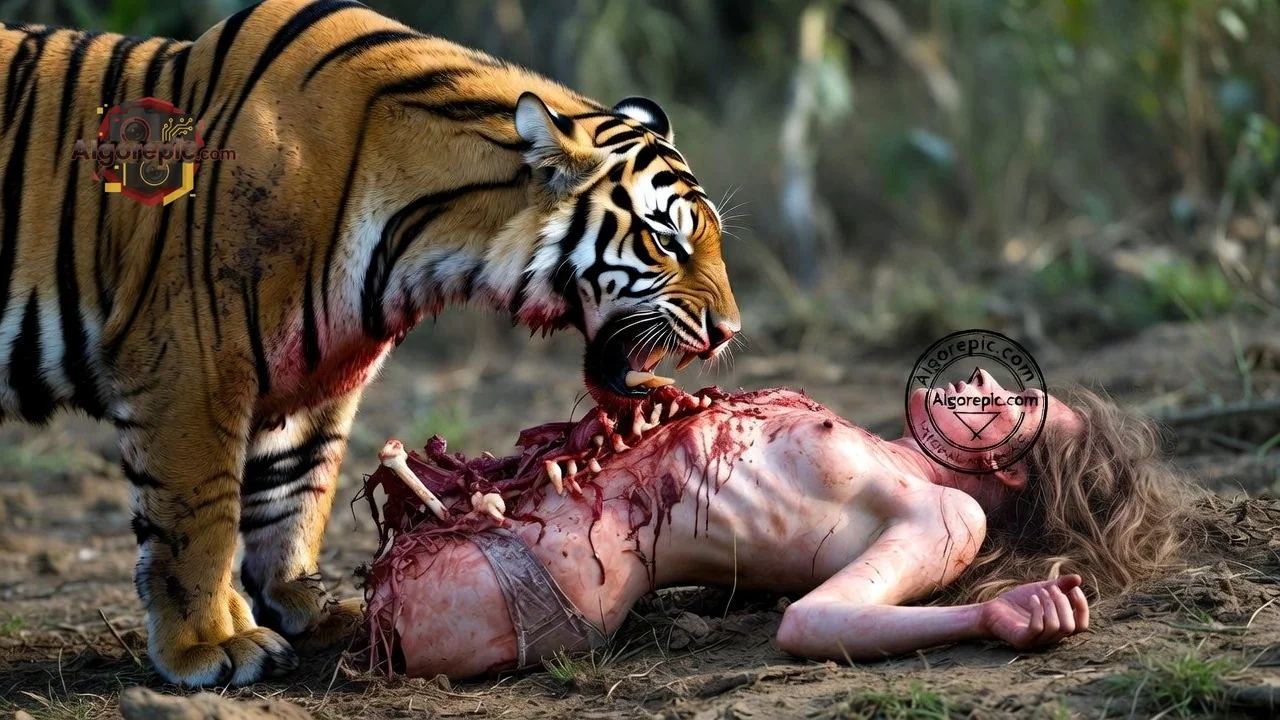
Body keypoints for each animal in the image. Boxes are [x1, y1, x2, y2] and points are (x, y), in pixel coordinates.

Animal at [0, 0, 739, 687]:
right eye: (666, 239)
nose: (730, 331)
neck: (429, 241)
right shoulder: (193, 361)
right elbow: (198, 515)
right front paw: (211, 644)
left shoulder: (318, 373)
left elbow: (295, 491)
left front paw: (309, 610)